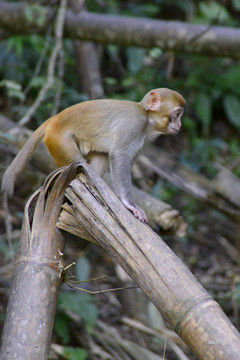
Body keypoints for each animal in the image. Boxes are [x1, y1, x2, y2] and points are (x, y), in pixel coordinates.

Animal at [1, 88, 186, 222]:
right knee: (78, 164)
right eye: (177, 114)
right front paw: (129, 204)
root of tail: (54, 119)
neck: (147, 117)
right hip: (58, 141)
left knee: (101, 158)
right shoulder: (134, 124)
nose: (179, 125)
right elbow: (119, 156)